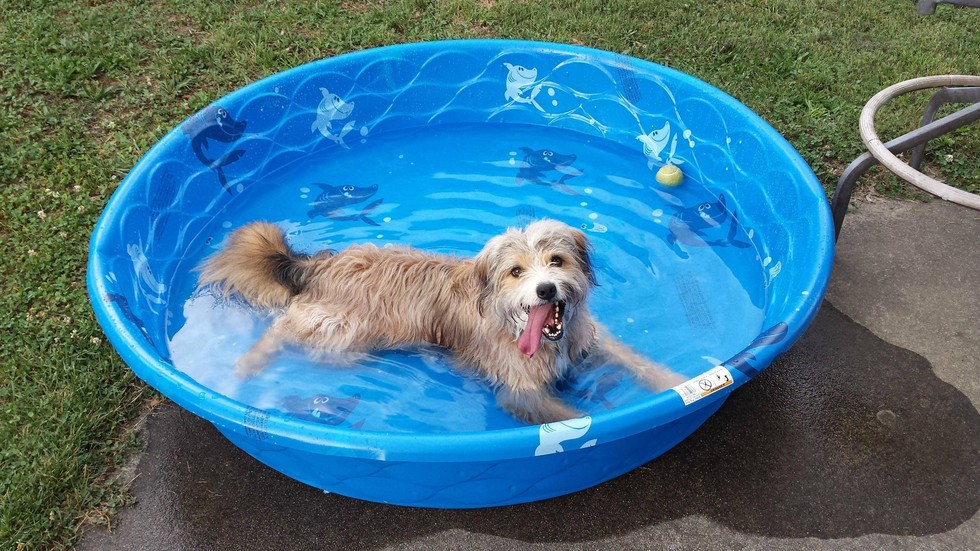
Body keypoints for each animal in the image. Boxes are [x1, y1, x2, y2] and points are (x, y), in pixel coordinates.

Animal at [198, 219, 680, 422]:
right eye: (516, 272)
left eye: (556, 261)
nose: (546, 290)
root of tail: (318, 266)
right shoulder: (520, 392)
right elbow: (565, 413)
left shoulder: (588, 339)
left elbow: (636, 360)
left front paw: (675, 383)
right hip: (341, 332)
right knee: (284, 326)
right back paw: (247, 363)